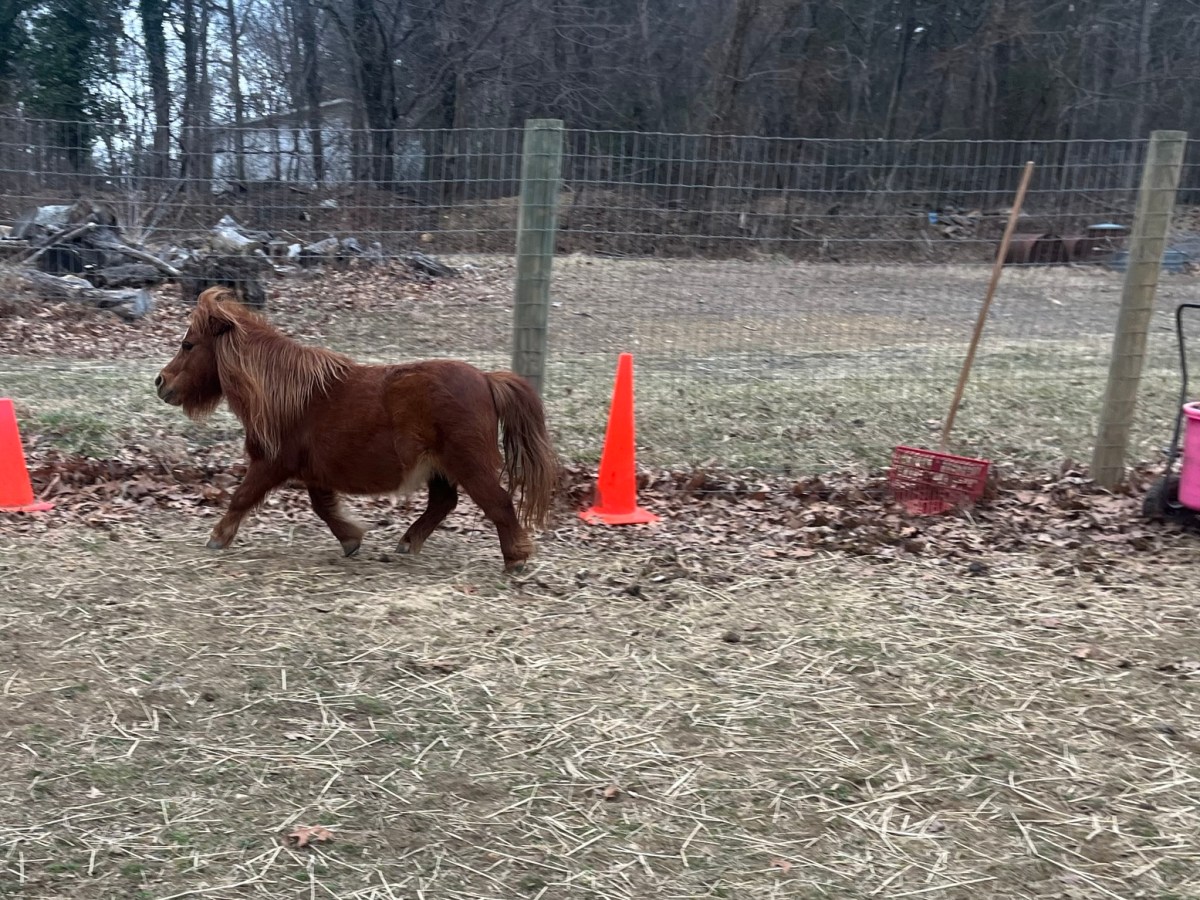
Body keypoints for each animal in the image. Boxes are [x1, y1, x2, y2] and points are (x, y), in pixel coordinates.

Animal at [155, 287, 559, 571]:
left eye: (188, 344)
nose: (161, 383)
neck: (284, 393)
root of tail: (487, 379)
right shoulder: (312, 471)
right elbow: (323, 507)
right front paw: (350, 540)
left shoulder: (271, 464)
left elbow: (241, 497)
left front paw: (217, 537)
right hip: (441, 467)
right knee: (444, 503)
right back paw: (409, 542)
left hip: (468, 464)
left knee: (498, 502)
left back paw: (515, 558)